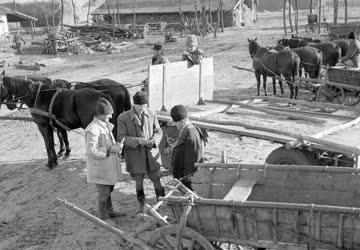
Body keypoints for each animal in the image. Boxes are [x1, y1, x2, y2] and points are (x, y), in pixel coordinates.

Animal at [0, 74, 130, 168]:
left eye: (1, 87)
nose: (10, 106)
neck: (38, 95)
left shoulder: (43, 126)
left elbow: (49, 143)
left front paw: (51, 162)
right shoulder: (54, 124)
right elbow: (58, 138)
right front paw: (61, 154)